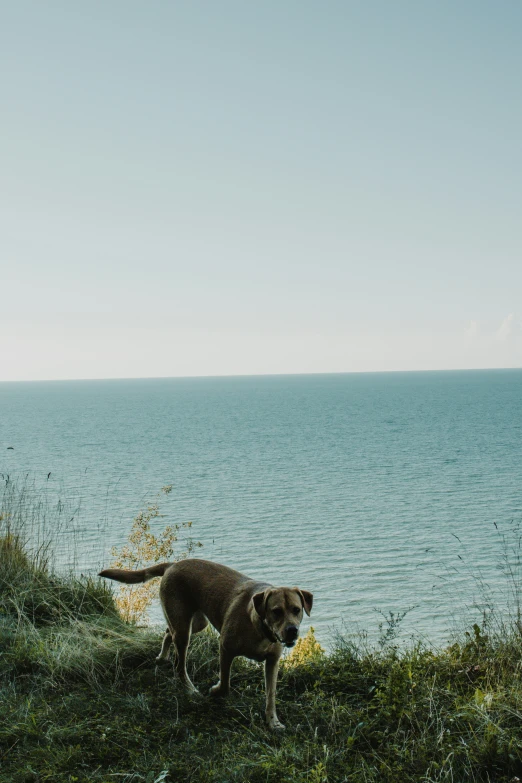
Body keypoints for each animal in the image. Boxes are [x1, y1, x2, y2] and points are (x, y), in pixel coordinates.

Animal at [98, 556, 310, 728]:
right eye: (276, 611)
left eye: (296, 610)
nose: (292, 631)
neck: (260, 627)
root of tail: (172, 564)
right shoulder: (225, 647)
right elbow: (225, 683)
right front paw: (216, 691)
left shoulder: (272, 662)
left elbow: (271, 695)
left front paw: (273, 722)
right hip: (184, 629)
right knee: (179, 665)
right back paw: (190, 690)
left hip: (196, 623)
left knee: (168, 632)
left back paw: (162, 656)